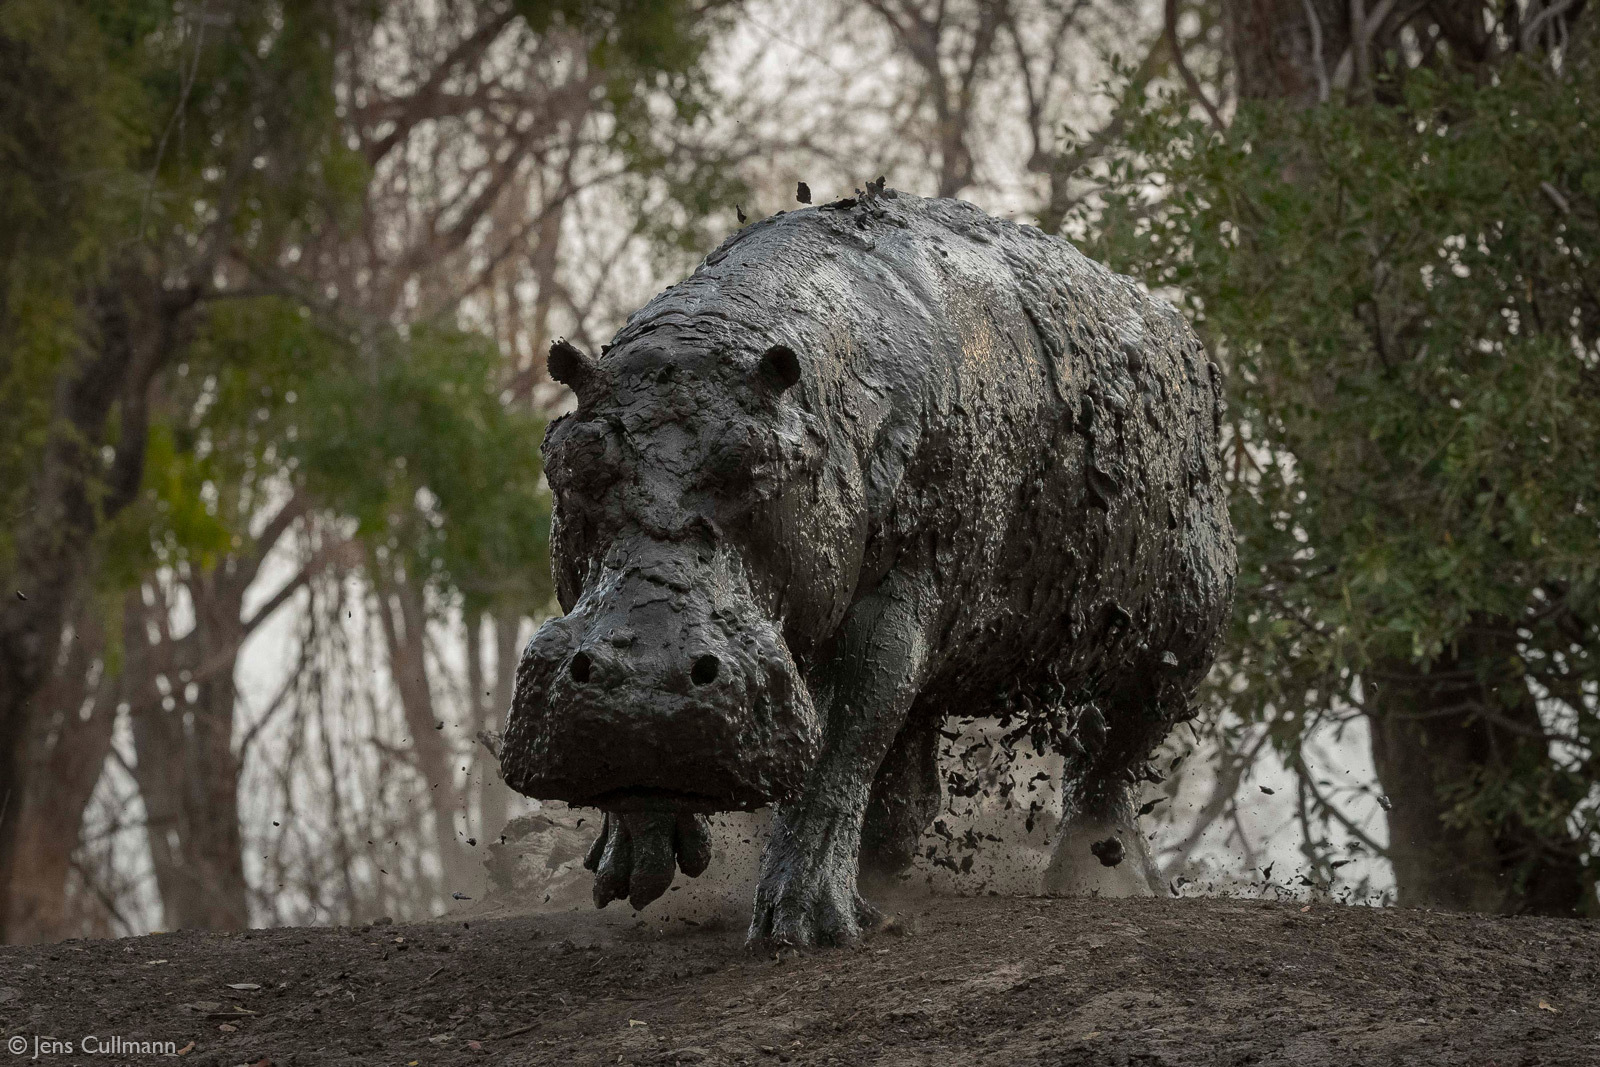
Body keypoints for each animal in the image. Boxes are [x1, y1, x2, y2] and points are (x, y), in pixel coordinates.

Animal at [499, 187, 1235, 947]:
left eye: (759, 464)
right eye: (570, 458)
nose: (645, 678)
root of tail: (1180, 334)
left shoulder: (897, 600)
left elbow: (847, 734)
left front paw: (801, 925)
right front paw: (638, 857)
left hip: (1178, 633)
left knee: (1107, 757)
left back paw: (1101, 881)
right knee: (925, 767)